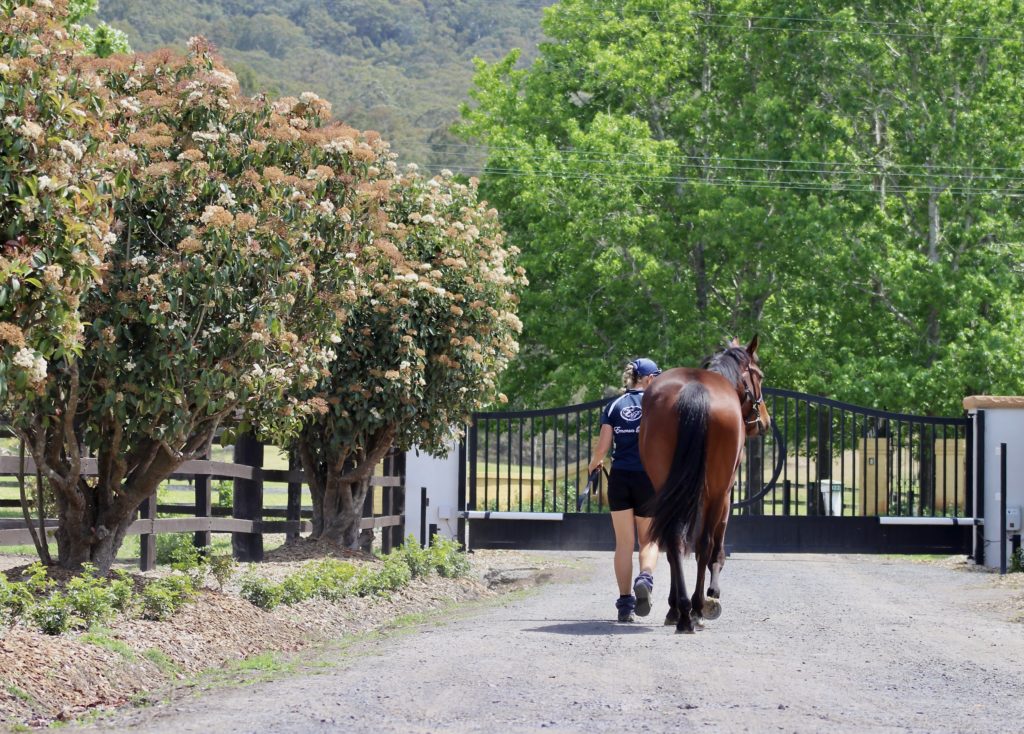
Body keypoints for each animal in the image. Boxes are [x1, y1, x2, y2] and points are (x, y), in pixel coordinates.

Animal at [638, 335, 771, 634]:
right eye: (759, 376)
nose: (765, 421)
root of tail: (695, 389)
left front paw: (674, 608)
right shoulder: (724, 496)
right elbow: (715, 549)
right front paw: (711, 597)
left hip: (668, 488)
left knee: (673, 540)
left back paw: (681, 611)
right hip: (716, 493)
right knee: (704, 544)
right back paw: (695, 609)